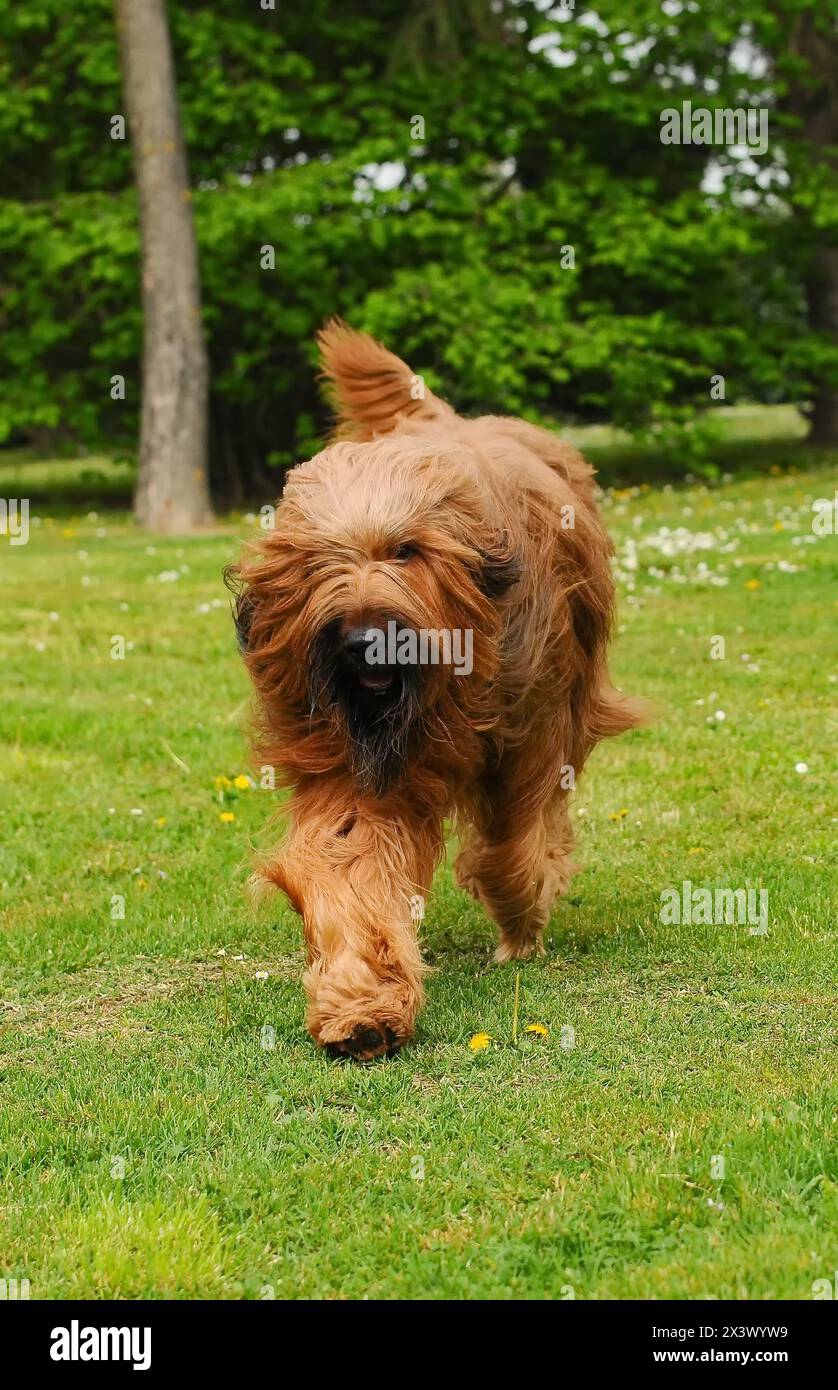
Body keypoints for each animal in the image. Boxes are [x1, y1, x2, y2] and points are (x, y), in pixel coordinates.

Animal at [226, 325, 639, 1056]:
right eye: (319, 563)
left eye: (406, 550)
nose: (364, 641)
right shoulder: (353, 765)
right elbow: (349, 861)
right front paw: (361, 1005)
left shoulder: (531, 728)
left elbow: (511, 838)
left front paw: (522, 913)